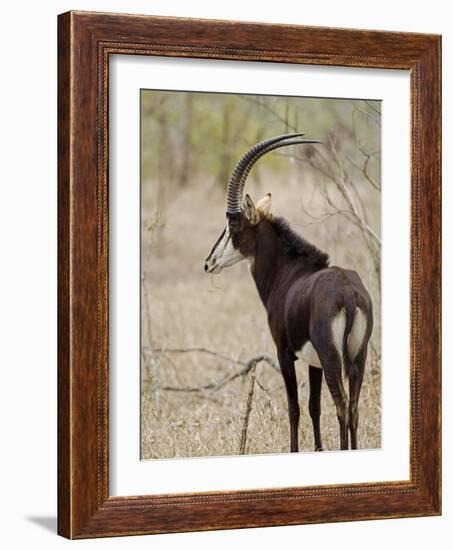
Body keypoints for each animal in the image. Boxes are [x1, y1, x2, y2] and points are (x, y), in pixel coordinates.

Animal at [206, 134, 374, 452]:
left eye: (232, 225)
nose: (209, 262)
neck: (288, 271)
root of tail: (348, 294)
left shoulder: (285, 353)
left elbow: (294, 408)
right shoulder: (313, 362)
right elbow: (313, 407)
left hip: (333, 357)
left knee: (342, 406)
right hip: (358, 356)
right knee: (355, 407)